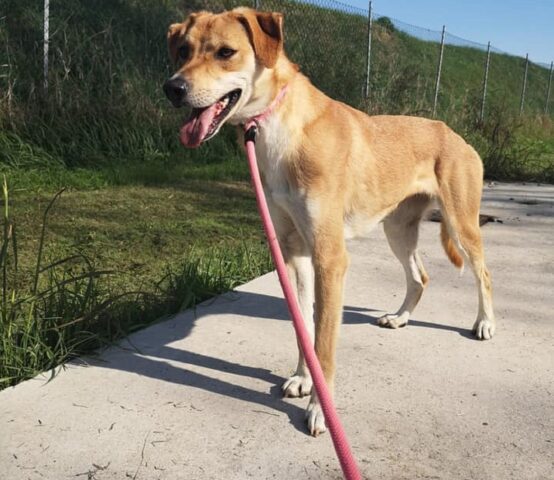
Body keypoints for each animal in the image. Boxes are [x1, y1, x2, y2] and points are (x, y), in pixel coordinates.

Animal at [162, 7, 494, 436]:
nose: (173, 88)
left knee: (483, 274)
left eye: (225, 52)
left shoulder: (330, 259)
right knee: (419, 276)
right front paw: (305, 378)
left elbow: (323, 340)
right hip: (397, 230)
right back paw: (401, 318)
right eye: (183, 50)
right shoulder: (294, 254)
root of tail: (454, 133)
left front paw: (321, 408)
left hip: (461, 224)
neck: (278, 130)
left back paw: (484, 323)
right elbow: (304, 328)